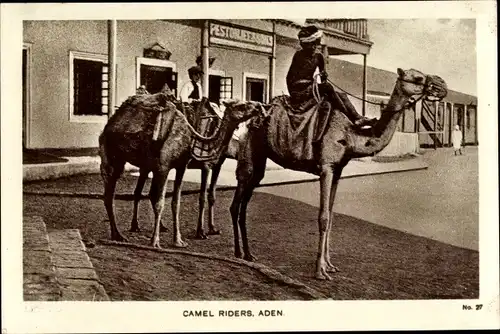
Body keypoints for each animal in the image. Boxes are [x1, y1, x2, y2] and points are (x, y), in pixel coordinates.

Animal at [99, 92, 264, 249]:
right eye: (241, 106)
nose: (259, 107)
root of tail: (109, 123)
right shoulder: (165, 166)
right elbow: (162, 202)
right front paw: (155, 242)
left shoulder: (181, 166)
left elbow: (176, 203)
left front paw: (179, 241)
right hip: (111, 155)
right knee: (110, 194)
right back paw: (118, 234)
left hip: (144, 164)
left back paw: (136, 230)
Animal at [229, 69, 448, 280]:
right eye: (418, 77)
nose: (441, 84)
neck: (350, 135)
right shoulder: (326, 167)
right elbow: (323, 217)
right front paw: (320, 272)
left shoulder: (338, 171)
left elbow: (332, 215)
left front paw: (330, 265)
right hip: (249, 151)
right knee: (237, 199)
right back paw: (238, 253)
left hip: (260, 160)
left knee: (245, 201)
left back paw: (248, 254)